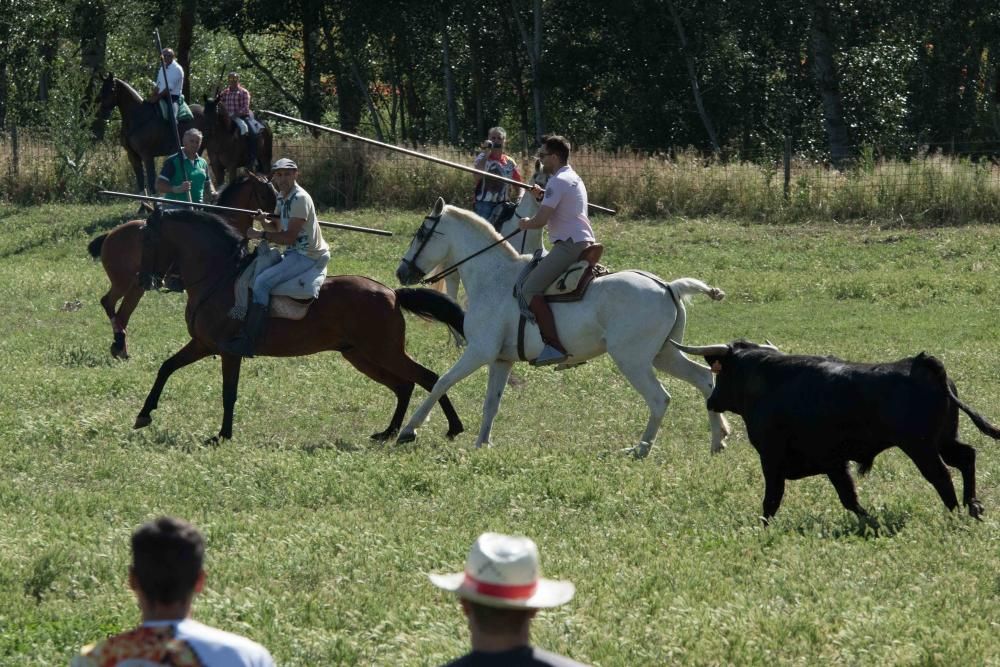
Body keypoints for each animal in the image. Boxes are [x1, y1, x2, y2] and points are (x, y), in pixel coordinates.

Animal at [89, 172, 278, 360]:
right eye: (263, 195)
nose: (274, 219)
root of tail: (110, 235)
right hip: (123, 282)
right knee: (108, 302)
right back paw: (119, 342)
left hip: (137, 286)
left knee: (123, 314)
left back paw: (120, 348)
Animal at [131, 209, 466, 444]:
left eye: (147, 239)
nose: (143, 279)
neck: (219, 277)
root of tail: (392, 293)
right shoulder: (203, 344)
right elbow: (166, 367)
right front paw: (143, 415)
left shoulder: (229, 352)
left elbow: (229, 393)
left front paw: (222, 435)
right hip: (361, 356)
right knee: (404, 385)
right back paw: (389, 432)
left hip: (383, 352)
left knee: (427, 377)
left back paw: (450, 428)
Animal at [394, 198, 732, 460]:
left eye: (421, 233)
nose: (401, 272)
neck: (494, 276)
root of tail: (668, 287)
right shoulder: (501, 359)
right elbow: (491, 403)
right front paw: (482, 443)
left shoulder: (479, 352)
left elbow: (441, 383)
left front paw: (409, 430)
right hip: (664, 355)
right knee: (704, 379)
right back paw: (718, 440)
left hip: (633, 360)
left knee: (660, 399)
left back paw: (640, 449)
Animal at [672, 342, 1000, 524]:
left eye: (722, 371)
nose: (711, 401)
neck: (766, 381)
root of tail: (921, 364)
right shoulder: (833, 463)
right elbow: (849, 497)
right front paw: (870, 521)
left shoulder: (772, 458)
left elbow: (772, 499)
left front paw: (762, 526)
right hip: (944, 440)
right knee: (966, 457)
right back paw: (973, 506)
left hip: (921, 448)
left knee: (942, 476)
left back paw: (954, 513)